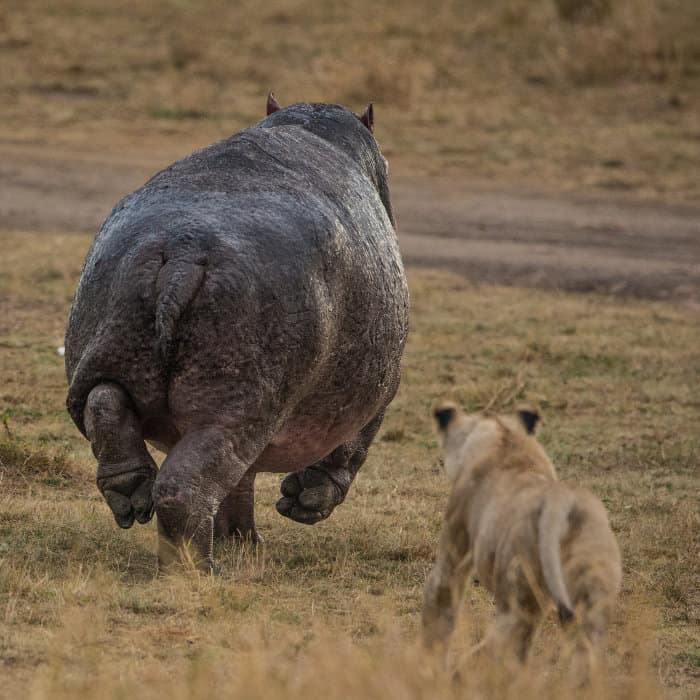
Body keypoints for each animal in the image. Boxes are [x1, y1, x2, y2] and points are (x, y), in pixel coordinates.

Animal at [65, 95, 409, 571]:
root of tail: (184, 252)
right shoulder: (380, 388)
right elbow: (350, 446)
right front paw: (298, 504)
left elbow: (239, 484)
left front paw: (243, 541)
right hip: (240, 406)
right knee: (184, 487)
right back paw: (199, 571)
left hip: (114, 350)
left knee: (105, 404)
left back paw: (134, 500)